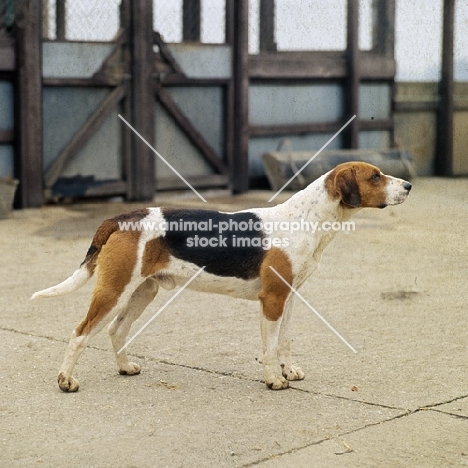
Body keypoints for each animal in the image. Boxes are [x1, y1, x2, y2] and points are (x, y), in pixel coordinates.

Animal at [33, 162, 412, 392]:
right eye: (375, 176)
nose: (409, 185)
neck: (307, 219)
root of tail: (122, 216)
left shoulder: (289, 298)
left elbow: (284, 342)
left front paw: (289, 371)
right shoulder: (272, 300)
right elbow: (269, 347)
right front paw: (274, 379)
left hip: (143, 291)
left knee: (117, 330)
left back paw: (125, 367)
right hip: (114, 290)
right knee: (80, 333)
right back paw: (66, 380)